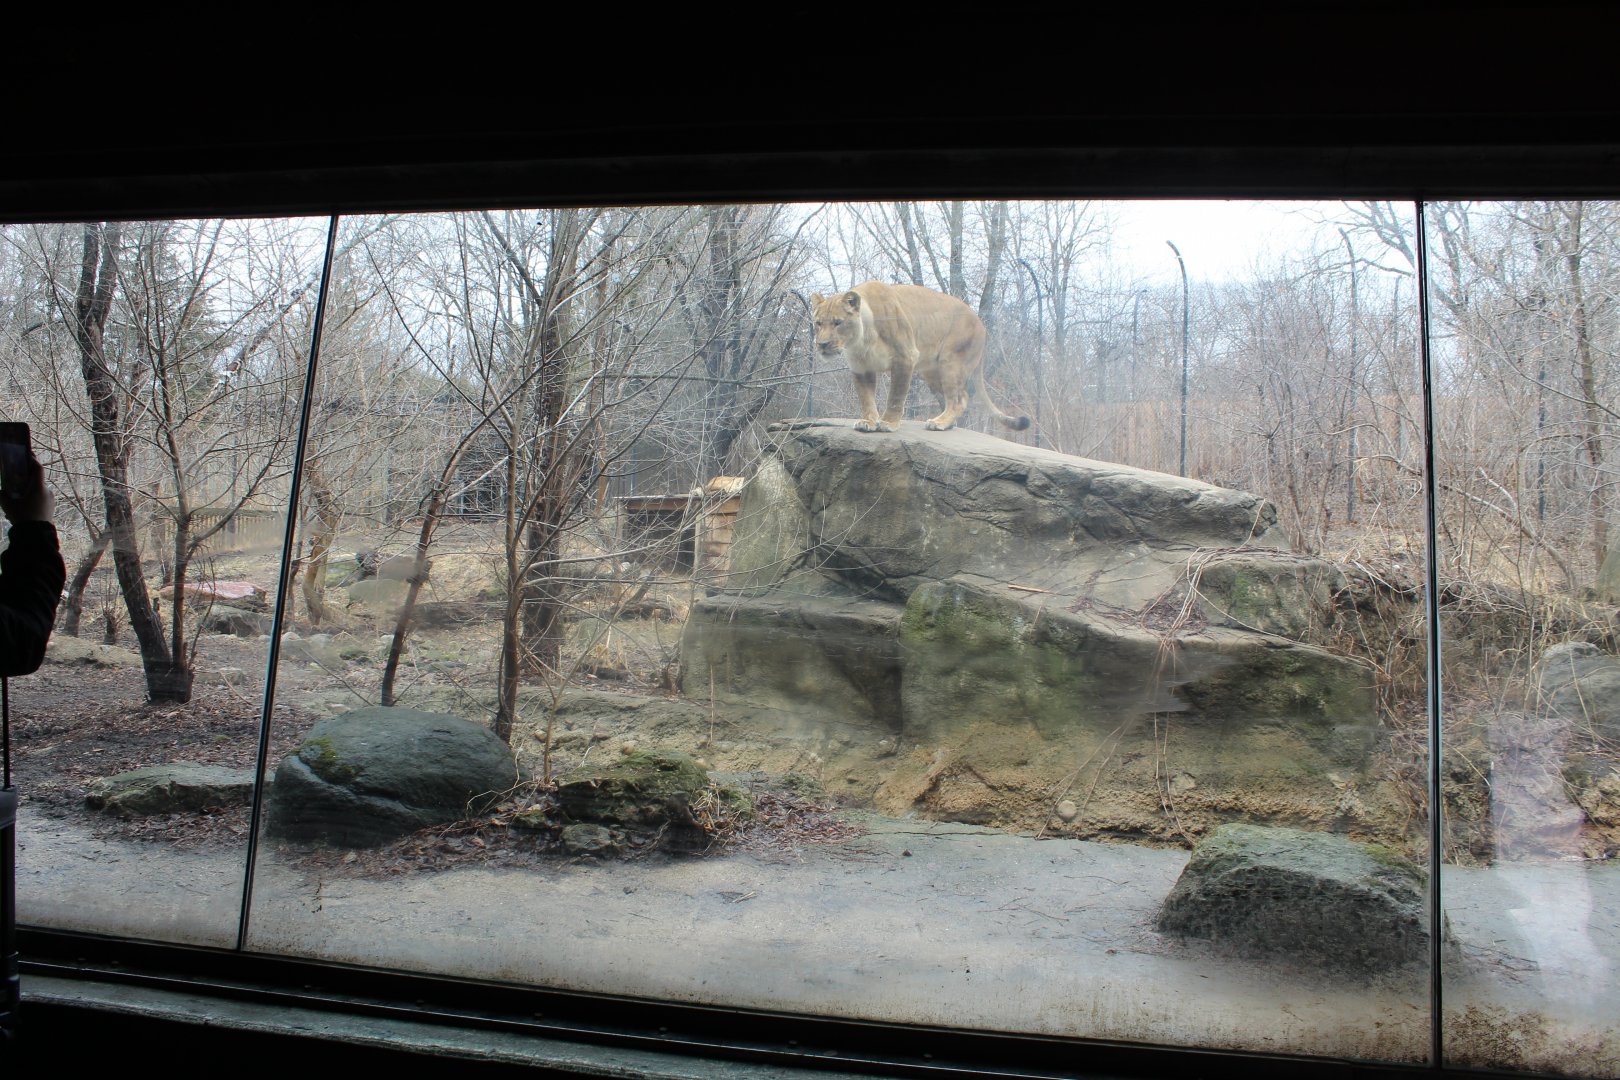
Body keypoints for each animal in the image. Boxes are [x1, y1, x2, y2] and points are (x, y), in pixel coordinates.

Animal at [810, 281, 1030, 433]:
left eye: (838, 322)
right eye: (818, 323)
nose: (822, 344)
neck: (862, 340)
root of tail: (982, 325)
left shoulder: (905, 357)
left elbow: (896, 396)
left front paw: (888, 423)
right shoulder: (861, 367)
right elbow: (866, 398)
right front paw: (868, 421)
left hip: (951, 361)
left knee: (959, 398)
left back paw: (940, 423)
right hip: (932, 373)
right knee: (961, 396)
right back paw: (947, 423)